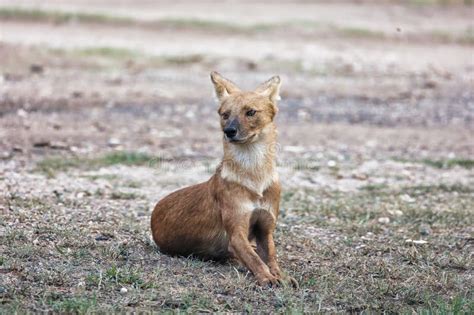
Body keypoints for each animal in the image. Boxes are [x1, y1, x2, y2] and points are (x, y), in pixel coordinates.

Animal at [152, 71, 292, 286]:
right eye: (225, 115)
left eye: (250, 112)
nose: (229, 131)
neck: (255, 175)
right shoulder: (236, 233)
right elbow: (255, 260)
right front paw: (267, 278)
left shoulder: (265, 228)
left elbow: (271, 256)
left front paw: (281, 275)